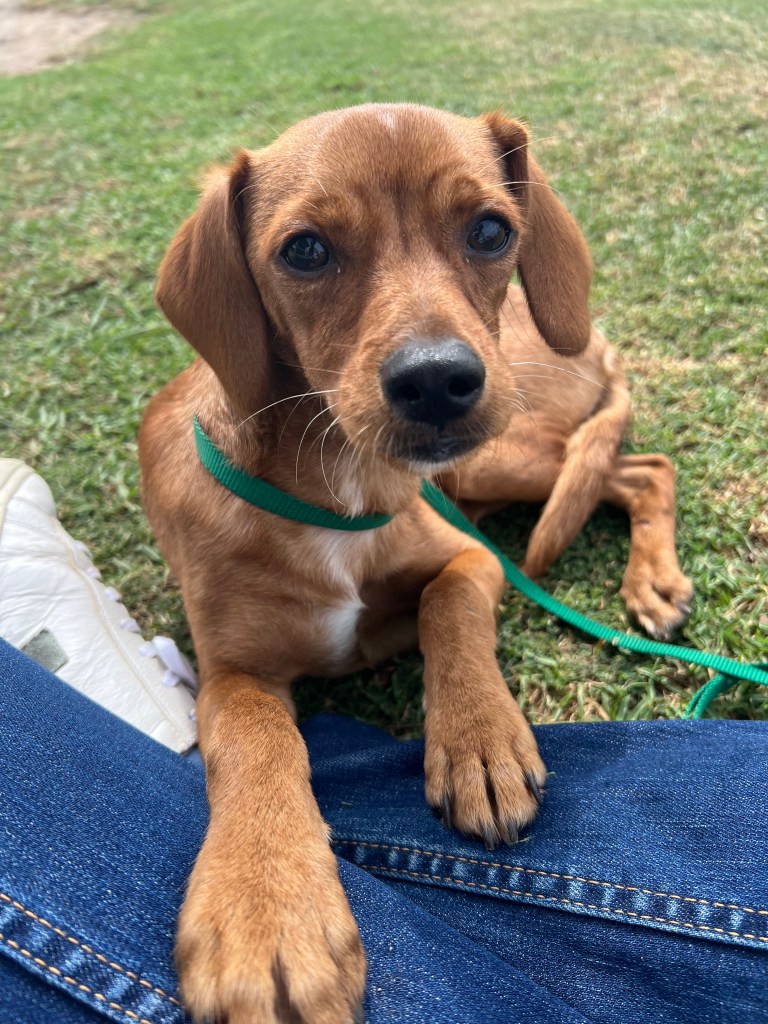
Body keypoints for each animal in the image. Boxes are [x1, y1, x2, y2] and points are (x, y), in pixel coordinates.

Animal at [139, 103, 693, 1024]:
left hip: (491, 456)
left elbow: (449, 614)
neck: (341, 497)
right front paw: (267, 909)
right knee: (629, 467)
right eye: (305, 250)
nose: (437, 381)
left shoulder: (470, 559)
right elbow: (257, 743)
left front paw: (478, 744)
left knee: (637, 466)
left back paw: (652, 579)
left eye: (490, 230)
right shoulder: (230, 672)